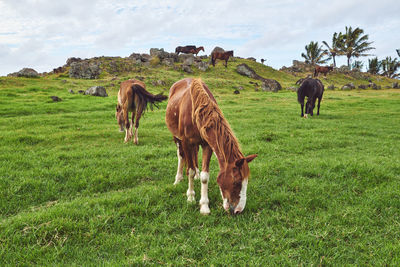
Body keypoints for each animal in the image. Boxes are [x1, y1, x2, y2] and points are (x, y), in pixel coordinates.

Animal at [165, 78, 256, 216]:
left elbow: (204, 176)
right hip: (177, 138)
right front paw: (191, 197)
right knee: (181, 156)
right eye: (237, 182)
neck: (196, 110)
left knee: (194, 154)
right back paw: (178, 179)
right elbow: (190, 171)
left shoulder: (207, 145)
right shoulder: (186, 142)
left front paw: (204, 206)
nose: (238, 210)